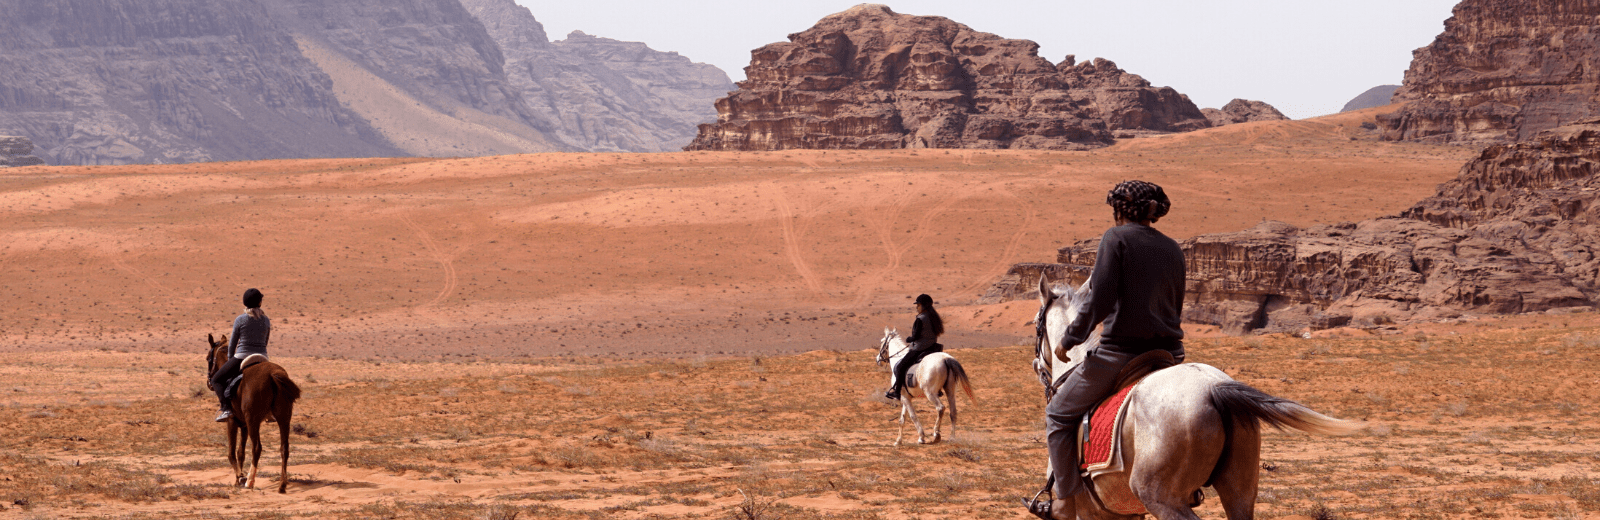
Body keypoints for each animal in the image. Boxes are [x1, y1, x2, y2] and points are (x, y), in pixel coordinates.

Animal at [204, 332, 300, 489]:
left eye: (208, 358)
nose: (209, 383)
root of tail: (272, 374)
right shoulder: (243, 425)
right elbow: (240, 452)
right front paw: (238, 479)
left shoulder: (232, 422)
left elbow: (231, 453)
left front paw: (240, 477)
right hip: (283, 418)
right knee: (284, 448)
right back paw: (282, 484)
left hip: (253, 421)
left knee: (257, 448)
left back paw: (250, 481)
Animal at [1030, 273, 1356, 515]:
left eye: (1036, 325)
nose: (1037, 365)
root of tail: (1214, 387)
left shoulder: (1088, 512)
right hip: (1239, 491)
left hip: (1162, 498)